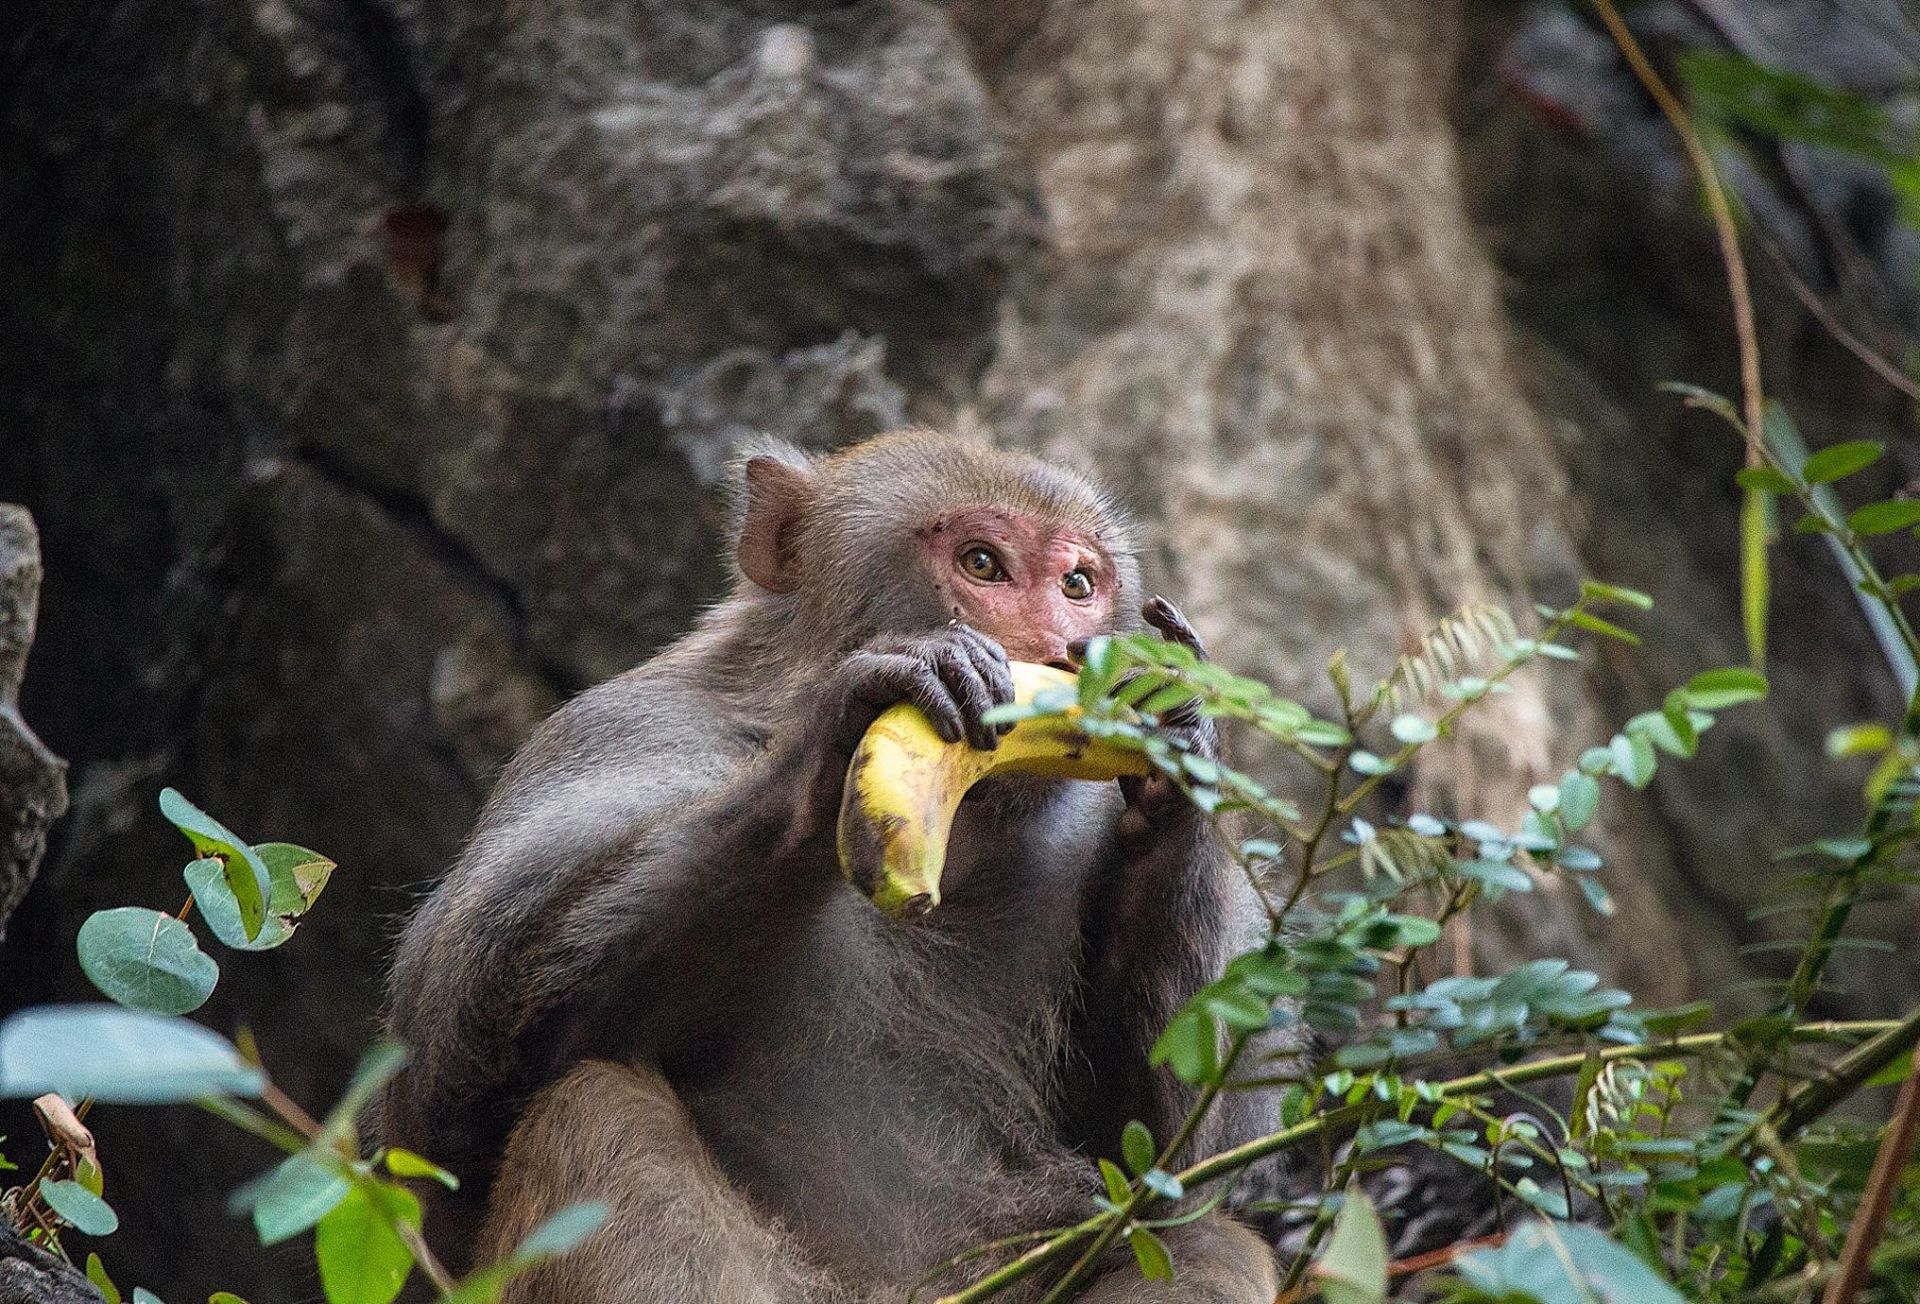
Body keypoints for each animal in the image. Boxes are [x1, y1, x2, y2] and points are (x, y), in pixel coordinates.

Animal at [372, 434, 1274, 1298]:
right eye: (983, 563)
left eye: (1079, 582)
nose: (1061, 646)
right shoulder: (622, 733)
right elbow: (446, 1102)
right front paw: (842, 729)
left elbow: (1158, 1161)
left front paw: (1182, 749)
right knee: (596, 1112)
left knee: (1201, 1242)